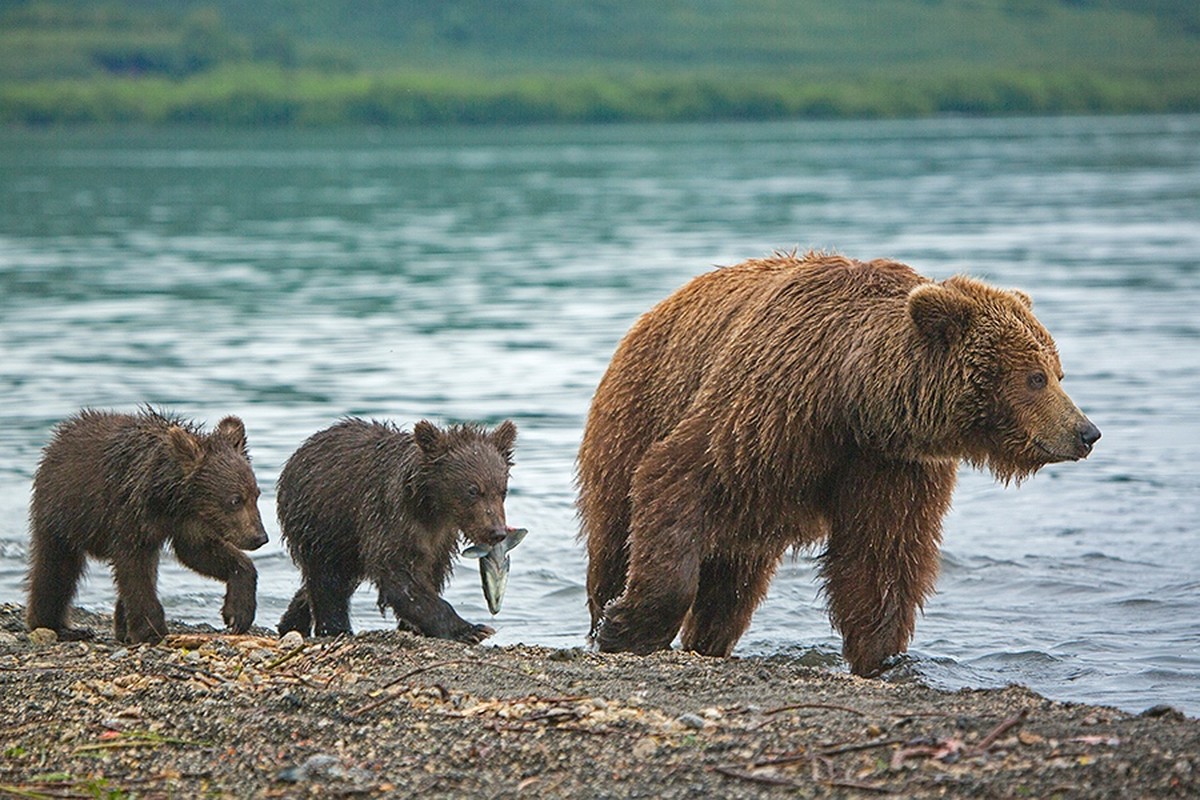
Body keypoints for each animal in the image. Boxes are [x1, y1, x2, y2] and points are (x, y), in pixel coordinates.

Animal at [576, 250, 1099, 676]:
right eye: (1035, 376)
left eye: (1058, 372)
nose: (1086, 432)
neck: (851, 397)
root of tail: (653, 312)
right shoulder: (767, 408)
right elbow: (680, 475)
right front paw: (625, 626)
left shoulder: (888, 462)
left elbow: (880, 556)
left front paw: (883, 655)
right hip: (636, 412)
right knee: (615, 533)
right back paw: (605, 613)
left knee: (734, 583)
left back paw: (709, 640)